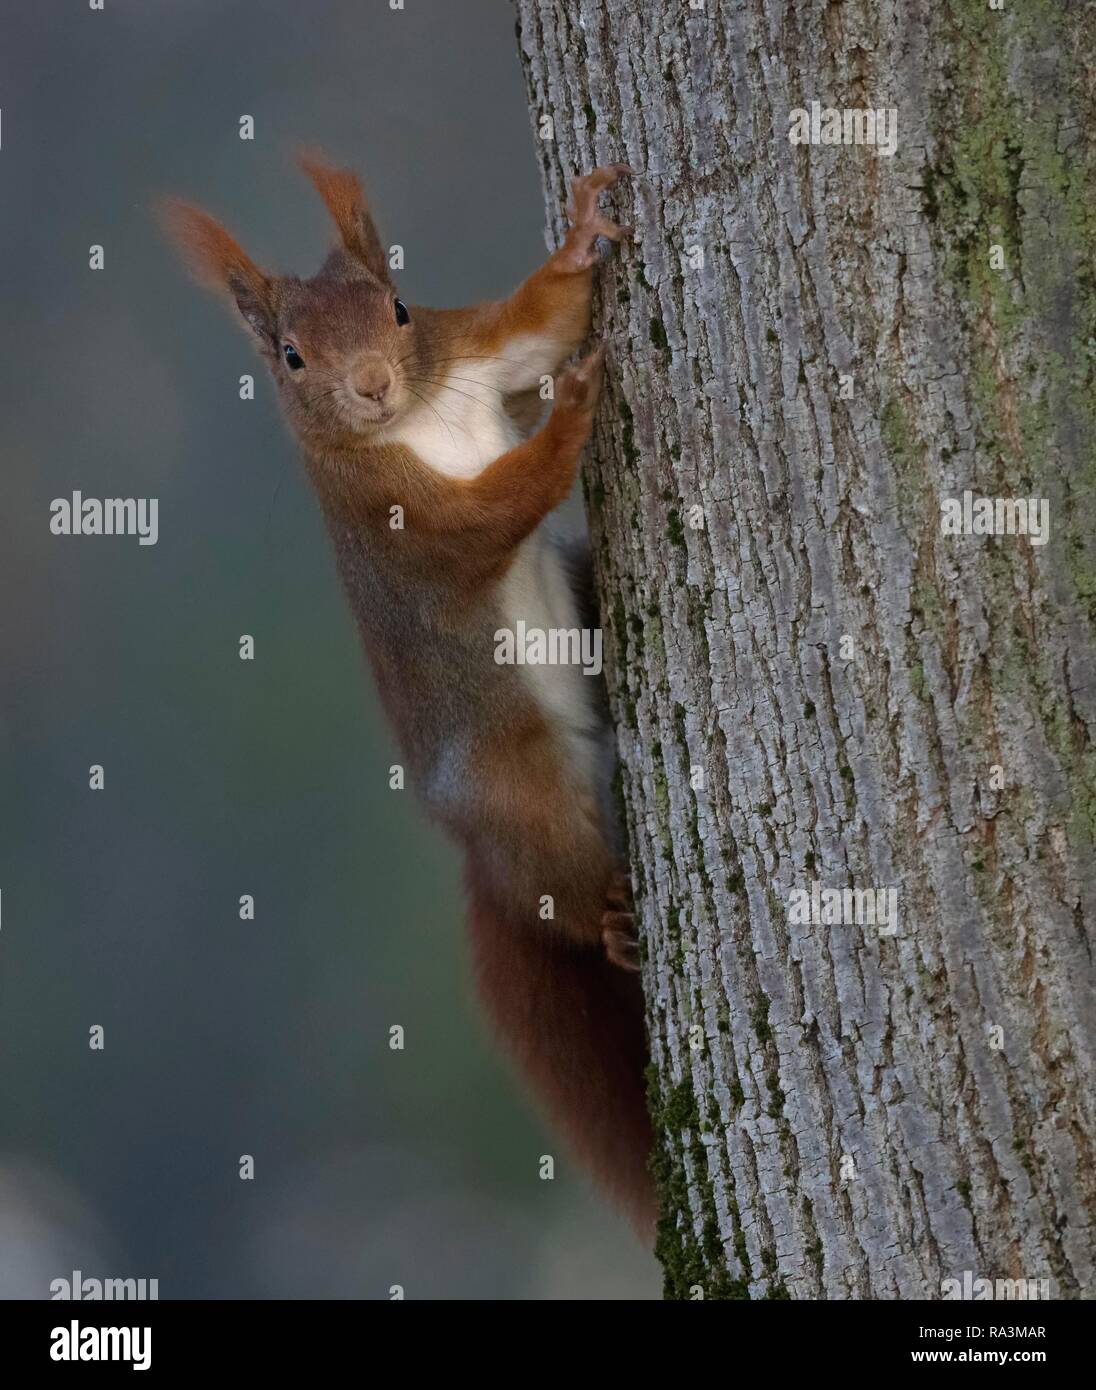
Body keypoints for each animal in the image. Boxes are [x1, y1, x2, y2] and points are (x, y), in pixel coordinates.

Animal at [162, 156, 655, 1235]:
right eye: (292, 358)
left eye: (394, 307)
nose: (373, 385)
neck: (418, 420)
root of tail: (476, 857)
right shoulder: (407, 525)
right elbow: (501, 504)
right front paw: (572, 413)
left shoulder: (468, 347)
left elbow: (537, 320)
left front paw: (582, 236)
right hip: (519, 792)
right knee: (560, 895)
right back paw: (609, 917)